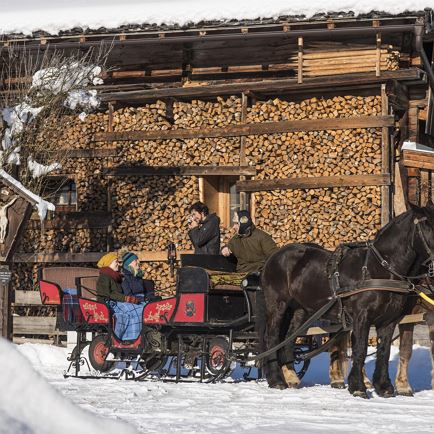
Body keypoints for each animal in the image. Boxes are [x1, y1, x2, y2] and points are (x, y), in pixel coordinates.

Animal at [258, 203, 434, 396]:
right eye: (428, 224)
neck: (381, 269)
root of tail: (274, 257)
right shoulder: (362, 317)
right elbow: (360, 349)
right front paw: (358, 387)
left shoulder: (389, 320)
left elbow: (384, 351)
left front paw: (384, 387)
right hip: (277, 305)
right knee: (273, 338)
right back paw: (276, 380)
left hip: (301, 310)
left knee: (288, 339)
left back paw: (290, 378)